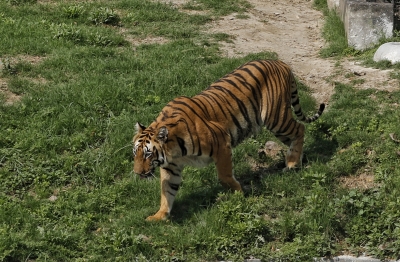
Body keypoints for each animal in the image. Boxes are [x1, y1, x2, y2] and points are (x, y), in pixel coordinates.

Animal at [133, 59, 324, 221]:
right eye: (135, 153)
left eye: (148, 154)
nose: (137, 173)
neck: (175, 150)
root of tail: (281, 63)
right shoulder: (171, 166)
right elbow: (167, 190)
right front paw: (159, 216)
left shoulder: (222, 143)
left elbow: (224, 176)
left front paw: (239, 193)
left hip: (276, 118)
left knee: (300, 128)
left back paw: (292, 163)